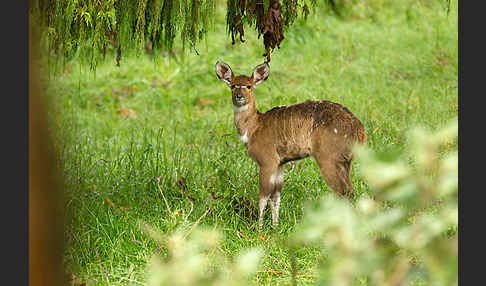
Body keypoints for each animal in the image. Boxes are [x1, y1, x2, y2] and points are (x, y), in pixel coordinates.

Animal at [215, 61, 366, 231]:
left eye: (249, 86)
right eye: (233, 85)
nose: (239, 96)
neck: (254, 128)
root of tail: (359, 130)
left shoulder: (267, 161)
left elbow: (263, 196)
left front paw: (259, 229)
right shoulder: (281, 164)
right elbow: (275, 196)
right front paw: (275, 227)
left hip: (328, 159)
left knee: (342, 192)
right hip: (346, 162)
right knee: (350, 191)